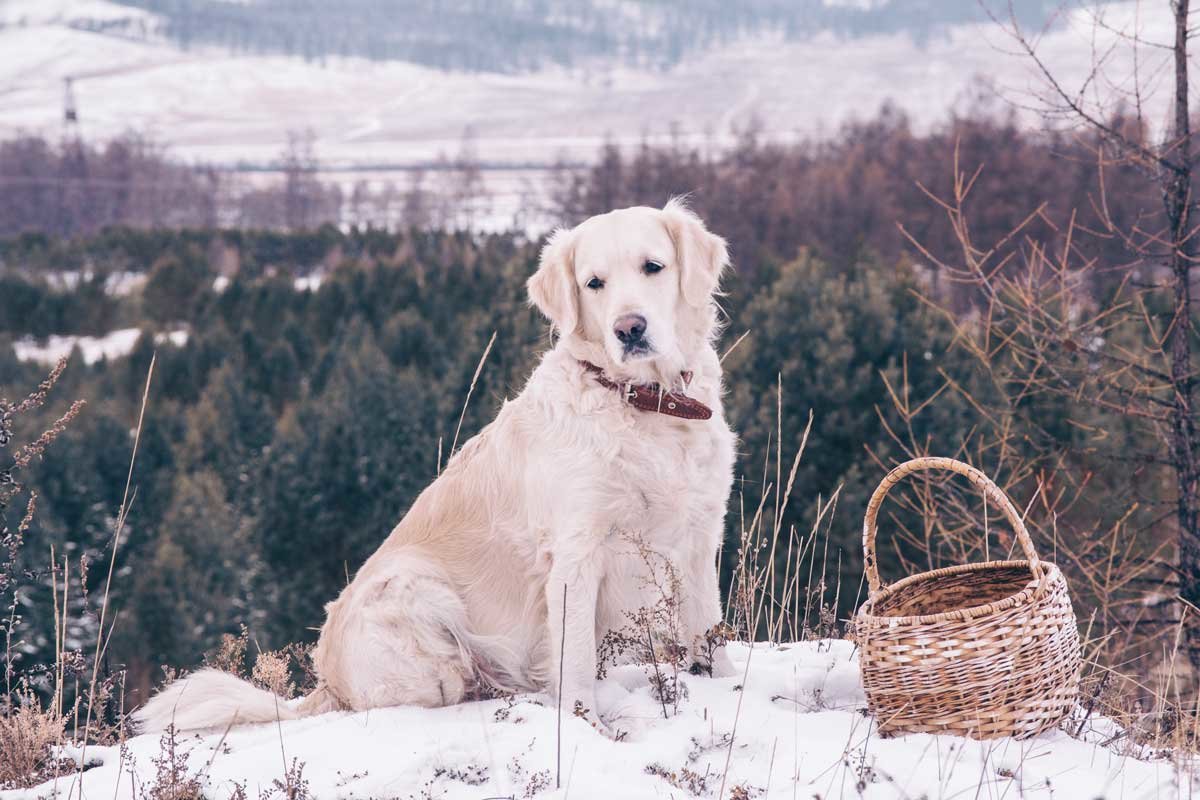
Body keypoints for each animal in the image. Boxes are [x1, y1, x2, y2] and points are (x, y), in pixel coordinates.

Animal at [133, 200, 729, 738]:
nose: (630, 329)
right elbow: (576, 660)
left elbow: (708, 632)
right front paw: (588, 729)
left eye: (653, 266)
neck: (648, 406)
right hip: (413, 589)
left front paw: (720, 689)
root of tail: (326, 684)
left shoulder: (701, 538)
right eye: (594, 283)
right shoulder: (577, 554)